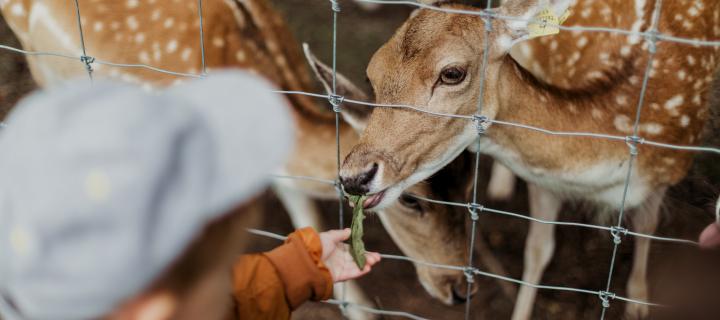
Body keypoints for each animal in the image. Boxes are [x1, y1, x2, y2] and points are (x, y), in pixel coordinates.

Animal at [330, 0, 720, 318]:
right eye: (371, 74)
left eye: (452, 73)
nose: (354, 176)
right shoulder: (545, 178)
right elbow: (537, 250)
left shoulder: (669, 168)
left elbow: (646, 226)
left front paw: (638, 302)